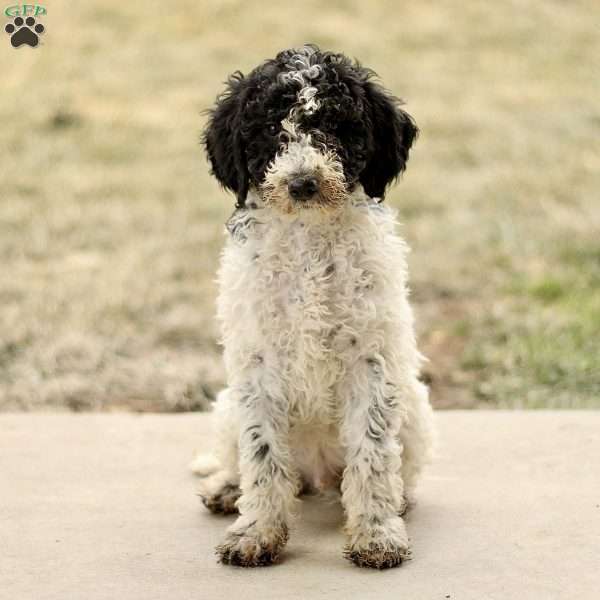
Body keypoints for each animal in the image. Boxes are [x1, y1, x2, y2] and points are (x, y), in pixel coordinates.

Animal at [195, 44, 434, 568]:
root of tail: (319, 475)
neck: (308, 238)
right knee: (245, 463)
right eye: (269, 128)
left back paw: (399, 500)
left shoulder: (371, 361)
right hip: (226, 407)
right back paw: (227, 489)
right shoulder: (258, 364)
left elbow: (372, 453)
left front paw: (377, 532)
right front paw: (257, 532)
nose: (303, 183)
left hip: (415, 409)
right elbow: (262, 456)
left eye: (337, 125)